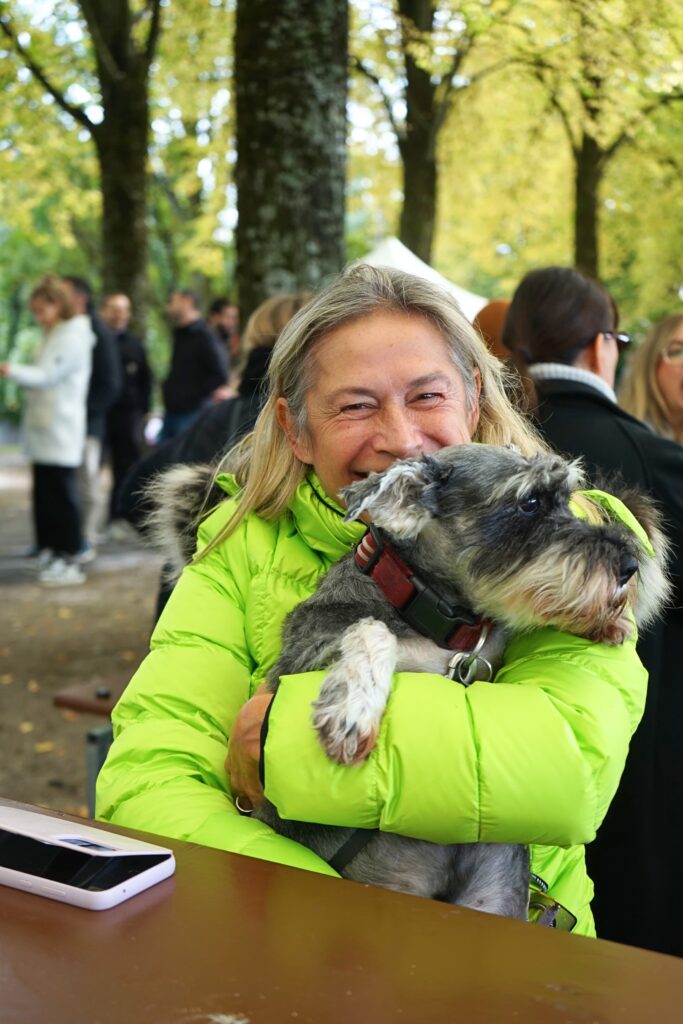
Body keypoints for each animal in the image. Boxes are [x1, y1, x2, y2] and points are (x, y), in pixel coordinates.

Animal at [253, 443, 670, 922]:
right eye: (530, 502)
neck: (441, 620)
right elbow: (370, 629)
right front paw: (351, 710)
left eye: (567, 498)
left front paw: (606, 621)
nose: (630, 565)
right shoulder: (298, 662)